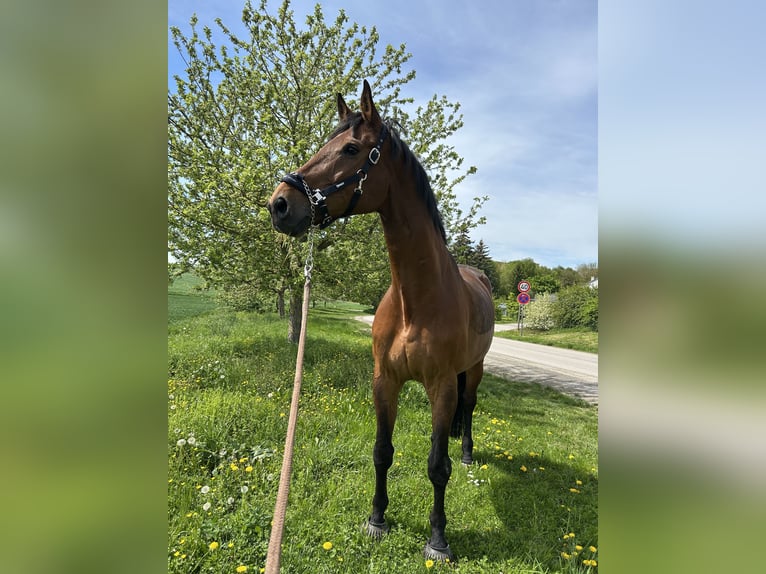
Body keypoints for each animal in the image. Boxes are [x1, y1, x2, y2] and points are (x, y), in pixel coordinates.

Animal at [267, 80, 494, 561]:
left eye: (351, 148)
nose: (280, 204)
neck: (415, 300)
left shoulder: (442, 387)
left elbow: (437, 465)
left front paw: (438, 539)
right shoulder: (384, 381)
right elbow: (381, 451)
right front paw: (376, 519)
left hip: (474, 370)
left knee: (468, 408)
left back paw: (466, 452)